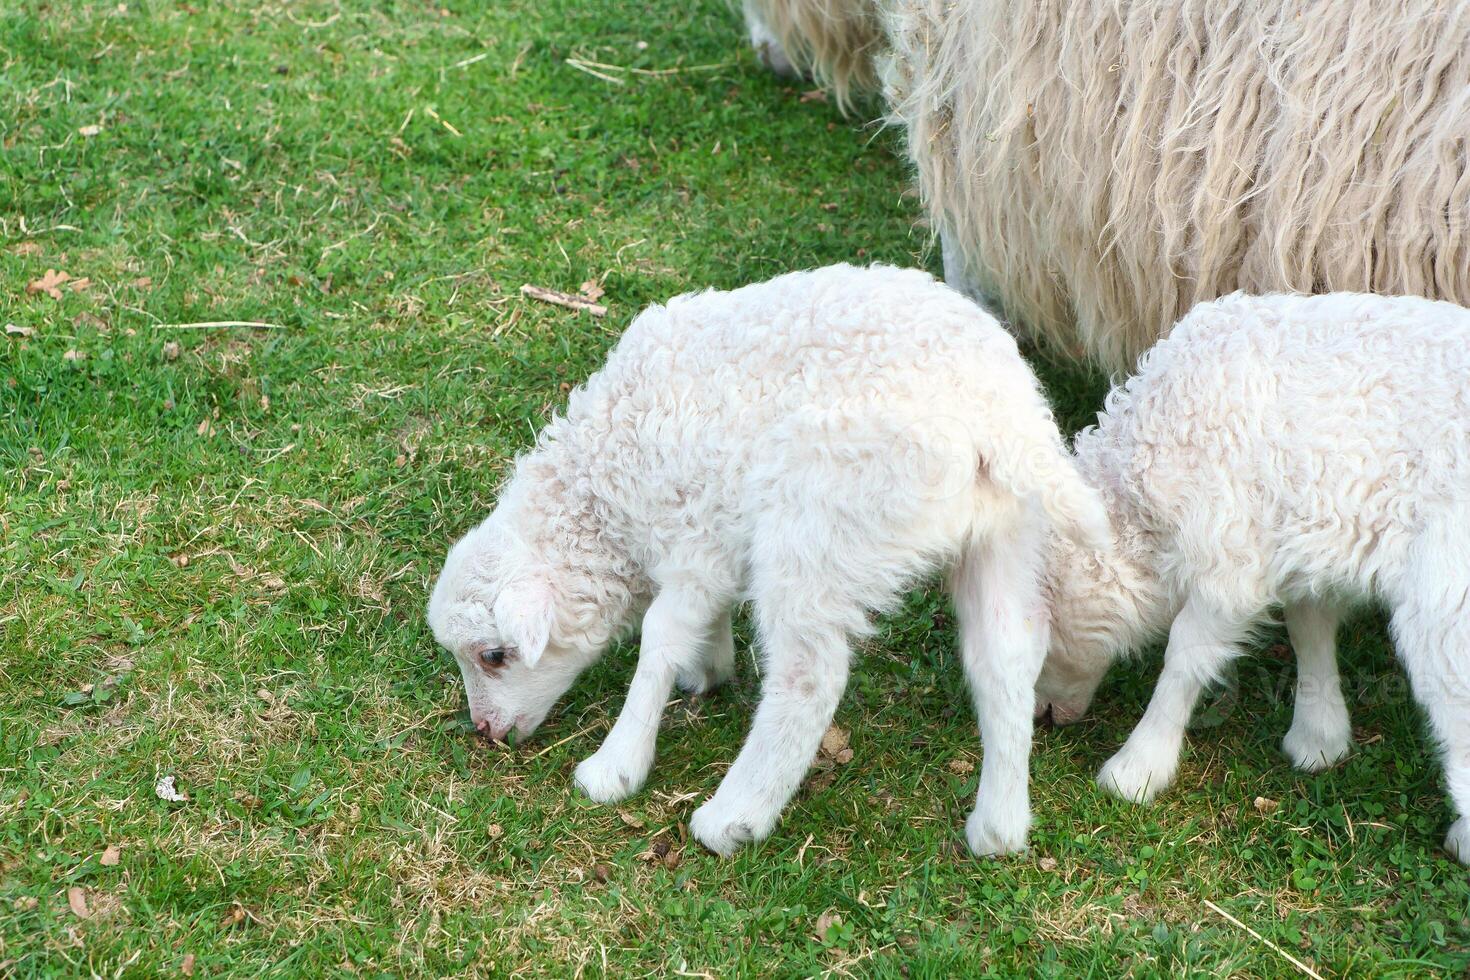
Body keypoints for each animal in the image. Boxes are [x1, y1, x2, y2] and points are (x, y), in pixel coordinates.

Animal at [429, 264, 1105, 852]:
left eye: (494, 655)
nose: (486, 732)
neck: (604, 484)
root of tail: (998, 419)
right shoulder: (716, 536)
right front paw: (709, 667)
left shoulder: (694, 535)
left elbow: (660, 635)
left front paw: (618, 765)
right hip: (1005, 532)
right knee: (1006, 656)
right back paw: (998, 828)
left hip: (817, 522)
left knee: (811, 673)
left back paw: (734, 817)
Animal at [1034, 293, 1470, 863]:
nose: (1041, 719)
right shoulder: (1301, 533)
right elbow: (1309, 627)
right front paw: (1318, 736)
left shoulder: (1228, 551)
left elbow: (1185, 655)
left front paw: (1137, 769)